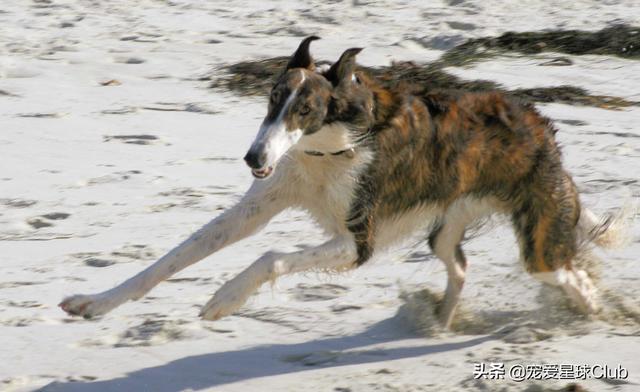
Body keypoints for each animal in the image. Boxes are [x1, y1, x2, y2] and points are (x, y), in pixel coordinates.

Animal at [60, 36, 620, 326]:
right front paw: (95, 303)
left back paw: (596, 316)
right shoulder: (261, 203)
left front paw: (224, 299)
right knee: (458, 266)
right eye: (271, 99)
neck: (328, 148)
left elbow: (270, 257)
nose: (253, 157)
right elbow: (174, 257)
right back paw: (438, 322)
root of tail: (542, 126)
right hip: (445, 225)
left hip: (539, 243)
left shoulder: (357, 242)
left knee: (575, 278)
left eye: (304, 109)